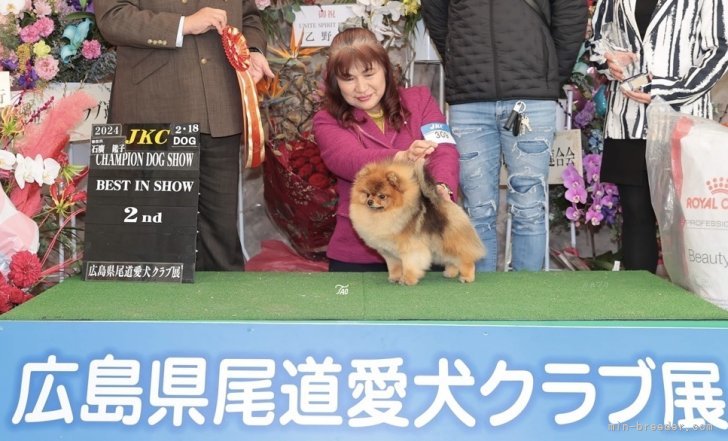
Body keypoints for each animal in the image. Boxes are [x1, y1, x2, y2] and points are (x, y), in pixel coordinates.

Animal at [350, 159, 485, 285]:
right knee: (452, 260)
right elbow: (394, 267)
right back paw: (450, 273)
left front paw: (407, 280)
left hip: (451, 242)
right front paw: (394, 278)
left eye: (382, 196)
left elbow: (409, 266)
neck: (385, 214)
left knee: (465, 259)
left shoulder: (410, 249)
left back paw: (467, 277)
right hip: (440, 245)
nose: (369, 202)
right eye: (367, 194)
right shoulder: (390, 253)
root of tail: (441, 202)